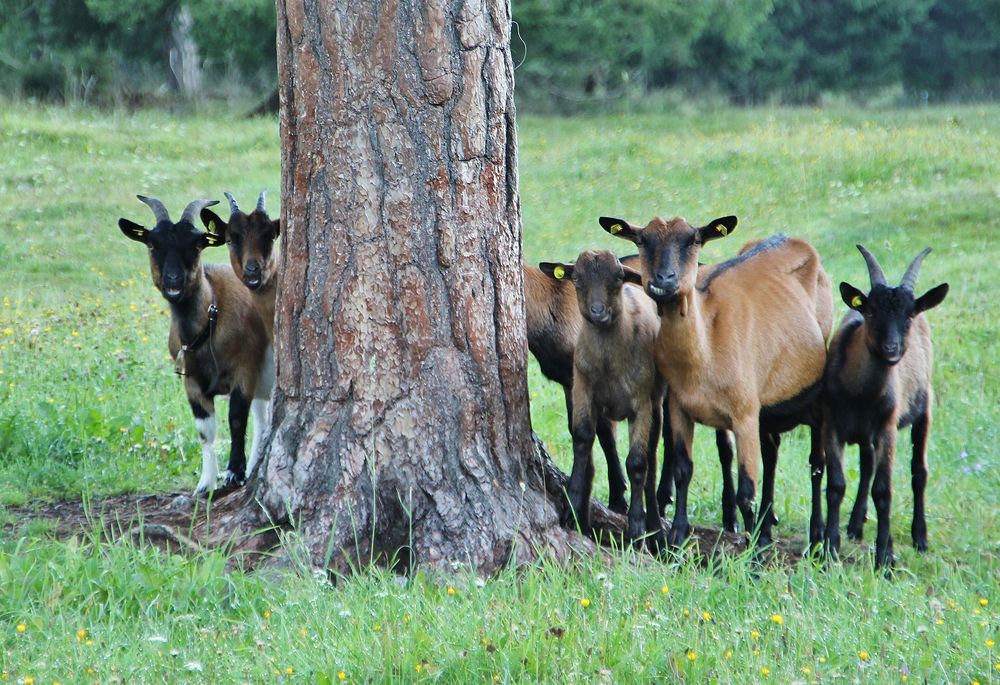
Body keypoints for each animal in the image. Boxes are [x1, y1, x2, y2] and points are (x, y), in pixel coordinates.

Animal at [118, 195, 272, 494]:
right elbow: (205, 430)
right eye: (152, 244)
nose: (173, 281)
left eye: (197, 244)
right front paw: (205, 483)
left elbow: (236, 419)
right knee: (262, 421)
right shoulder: (191, 381)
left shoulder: (245, 368)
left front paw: (233, 473)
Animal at [540, 248, 664, 548]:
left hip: (657, 402)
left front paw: (637, 530)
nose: (598, 312)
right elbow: (582, 440)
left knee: (652, 458)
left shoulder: (641, 403)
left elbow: (637, 462)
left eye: (618, 277)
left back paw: (655, 526)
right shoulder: (583, 391)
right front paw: (572, 511)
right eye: (576, 278)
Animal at [604, 212, 832, 544]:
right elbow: (684, 469)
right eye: (642, 239)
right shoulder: (680, 407)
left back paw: (814, 534)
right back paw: (769, 521)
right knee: (772, 451)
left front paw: (755, 548)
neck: (704, 352)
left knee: (816, 462)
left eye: (693, 239)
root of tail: (793, 239)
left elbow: (746, 490)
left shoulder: (745, 412)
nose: (663, 281)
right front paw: (678, 536)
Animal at [820, 244, 944, 568]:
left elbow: (884, 491)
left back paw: (920, 537)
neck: (859, 394)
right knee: (867, 465)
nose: (892, 350)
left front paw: (886, 557)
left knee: (918, 471)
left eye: (908, 315)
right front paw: (830, 547)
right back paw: (855, 524)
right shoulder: (832, 423)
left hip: (923, 408)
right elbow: (836, 485)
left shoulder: (887, 426)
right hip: (866, 434)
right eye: (871, 311)